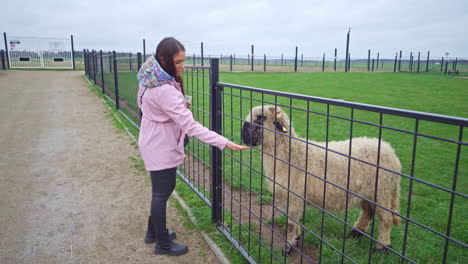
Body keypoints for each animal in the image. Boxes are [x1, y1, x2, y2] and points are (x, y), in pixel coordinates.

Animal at [241, 104, 402, 255]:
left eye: (261, 118)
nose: (243, 137)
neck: (292, 155)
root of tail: (392, 153)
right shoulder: (290, 197)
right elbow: (294, 221)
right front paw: (297, 238)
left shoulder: (295, 196)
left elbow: (291, 223)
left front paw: (289, 246)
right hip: (368, 192)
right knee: (368, 212)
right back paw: (355, 233)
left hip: (382, 191)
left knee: (386, 219)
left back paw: (382, 247)